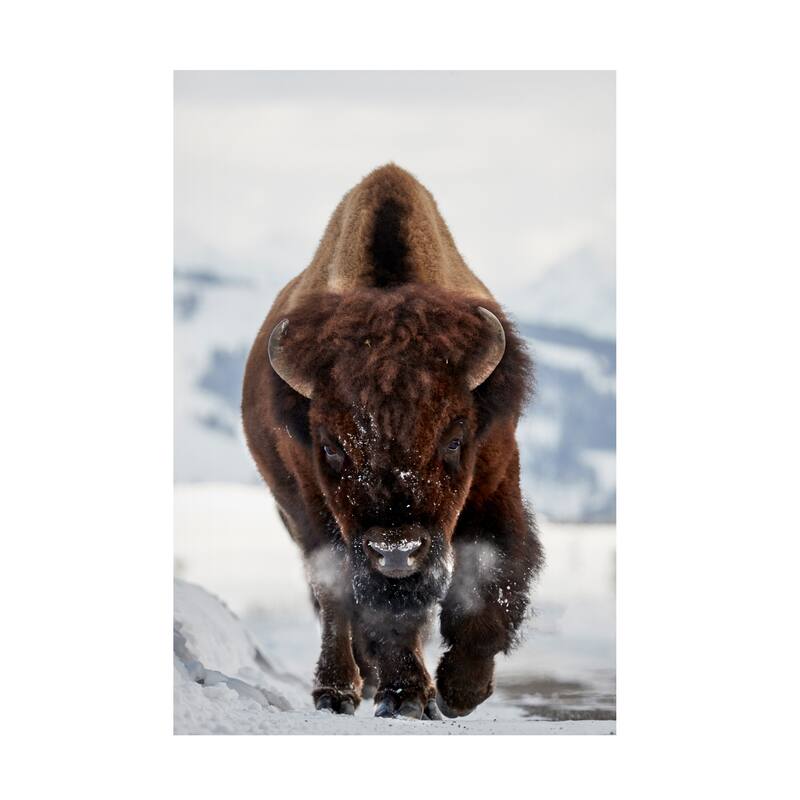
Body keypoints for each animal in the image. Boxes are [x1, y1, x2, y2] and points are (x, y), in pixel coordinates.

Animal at [242, 164, 543, 720]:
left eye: (455, 438)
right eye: (331, 446)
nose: (397, 552)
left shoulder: (495, 479)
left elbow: (493, 573)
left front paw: (460, 691)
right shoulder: (321, 511)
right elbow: (371, 606)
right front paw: (406, 696)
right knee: (334, 599)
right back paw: (339, 690)